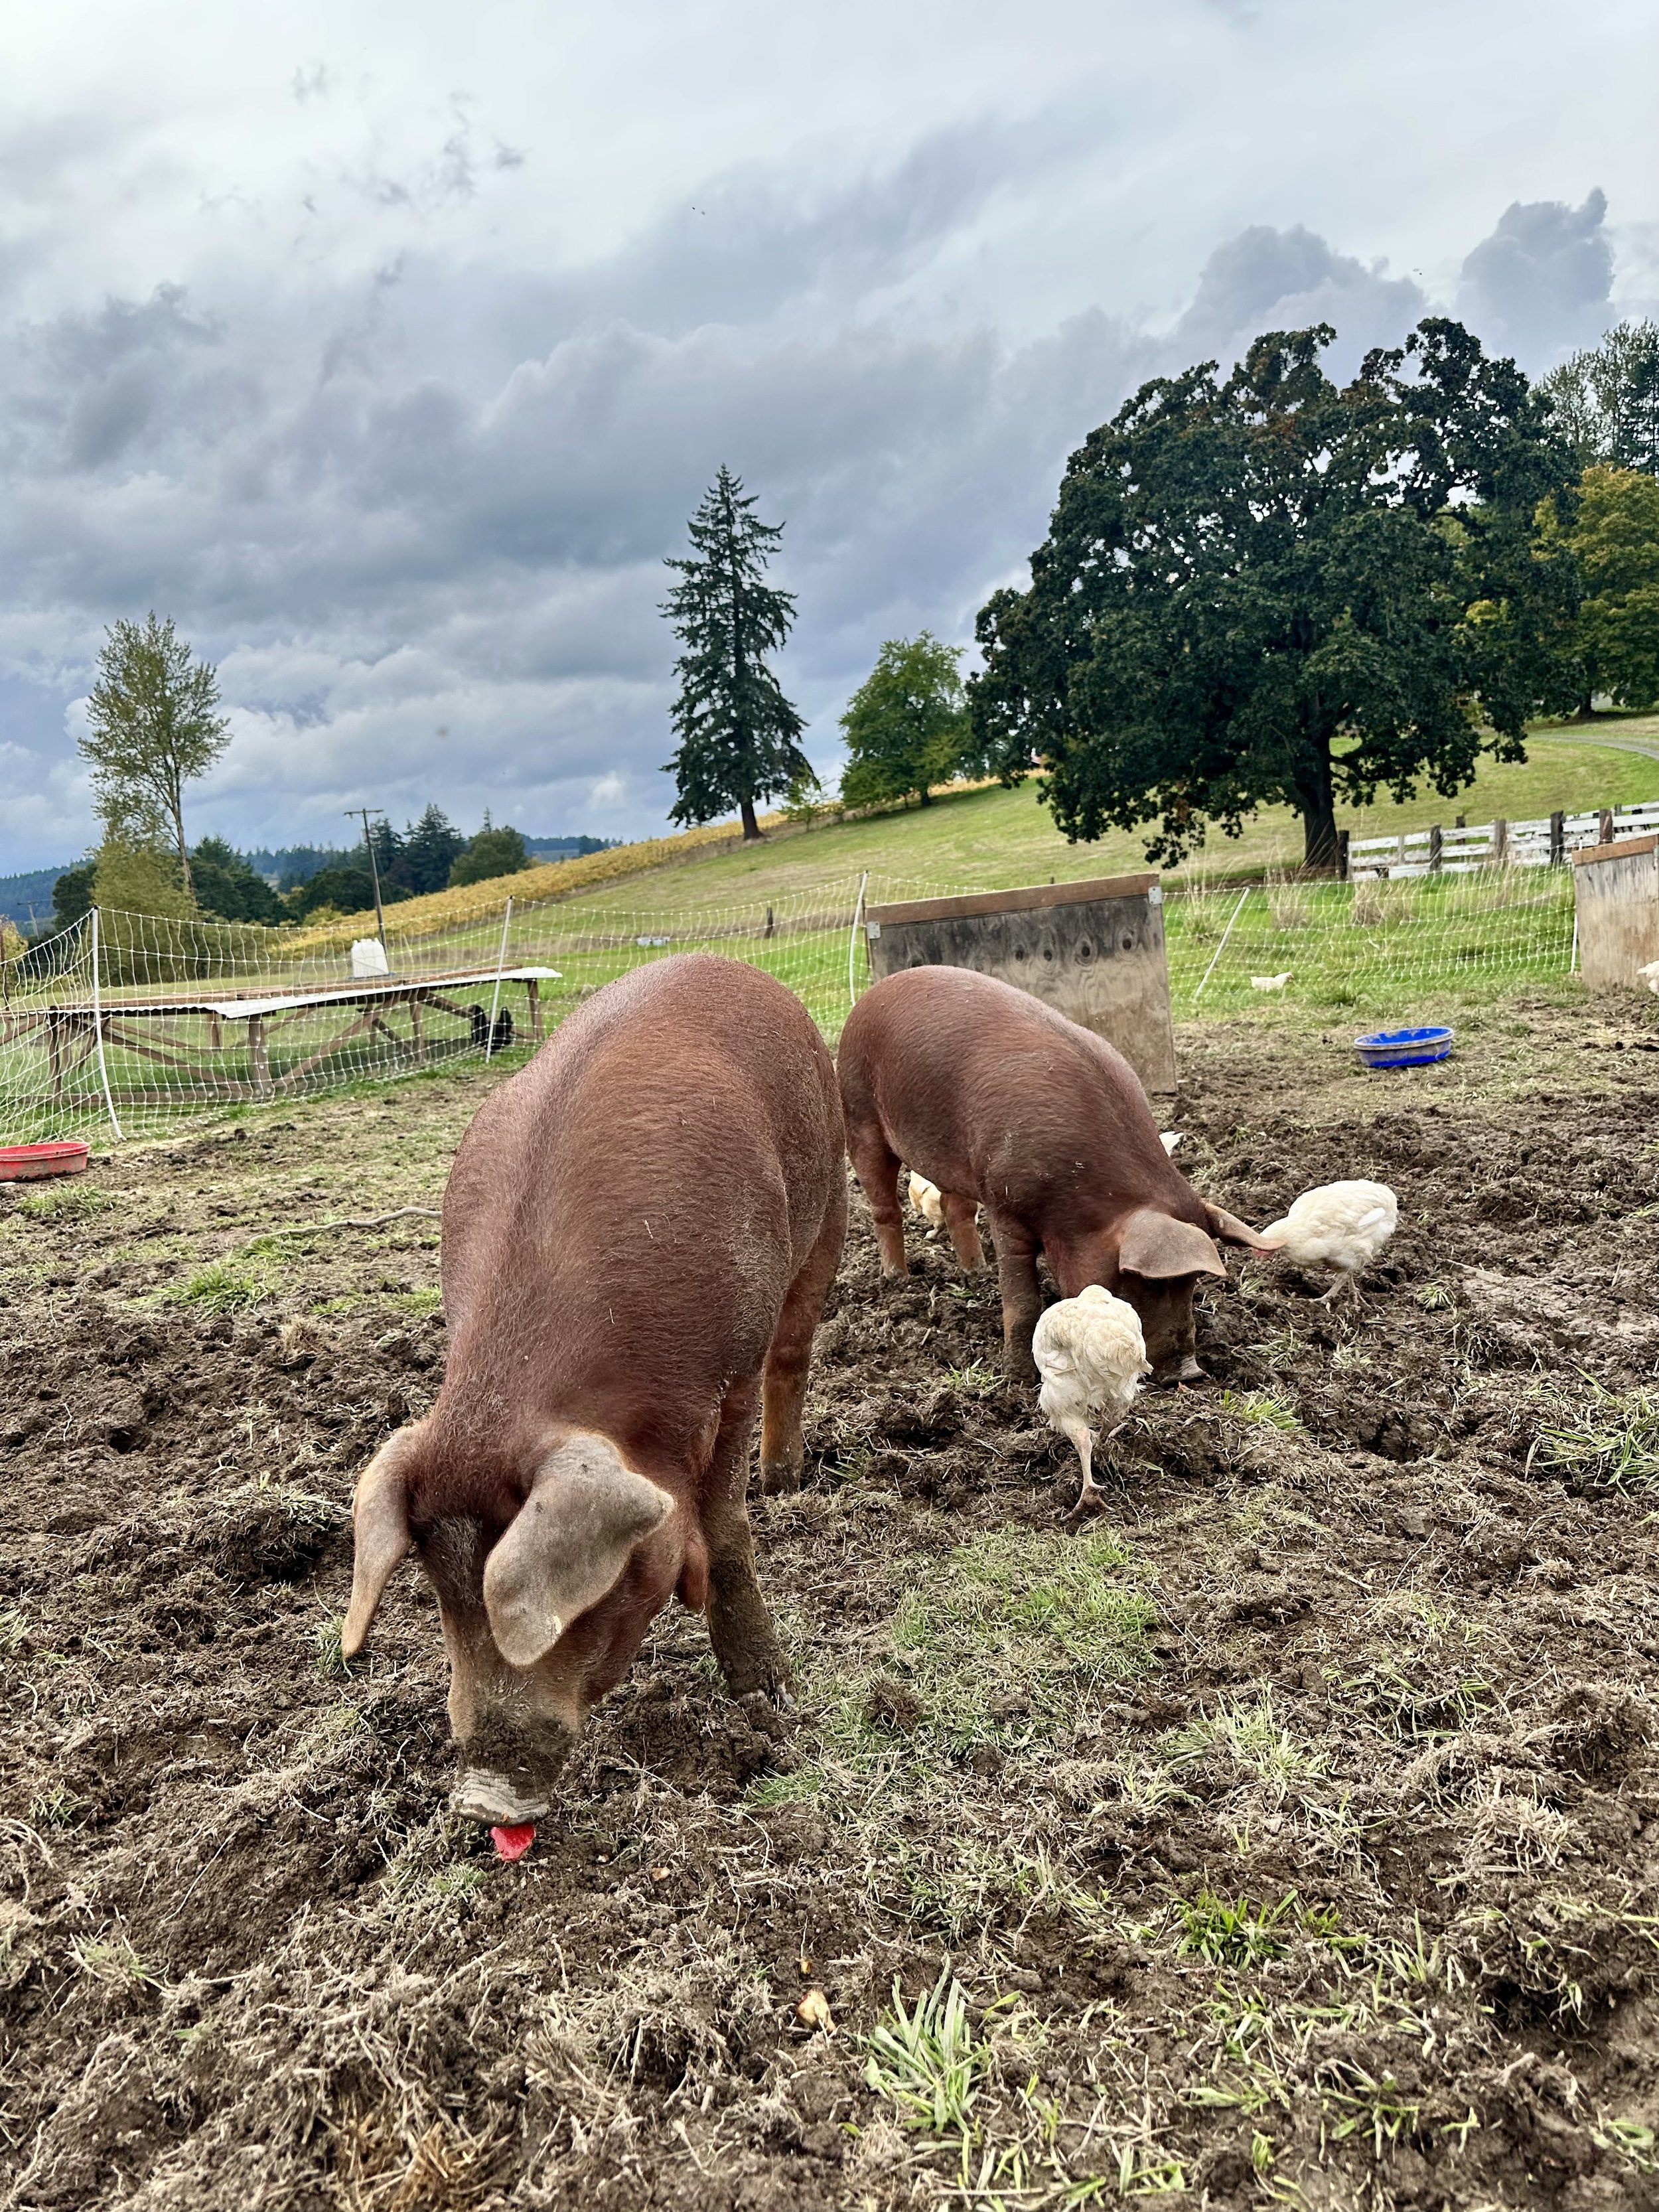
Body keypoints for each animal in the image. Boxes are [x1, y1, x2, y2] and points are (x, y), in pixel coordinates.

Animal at [340, 954, 847, 1828]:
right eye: (438, 1590)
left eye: (578, 1599)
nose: (482, 1802)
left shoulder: (730, 1371)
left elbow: (724, 1520)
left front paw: (770, 1699)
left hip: (830, 1191)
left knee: (797, 1346)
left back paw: (784, 1481)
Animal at [837, 965, 1270, 1383]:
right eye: (1147, 1281)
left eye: (1192, 1284)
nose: (1190, 1373)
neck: (1079, 1206)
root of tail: (871, 996)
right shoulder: (1005, 1205)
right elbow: (1021, 1299)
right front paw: (1017, 1379)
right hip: (859, 1117)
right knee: (884, 1207)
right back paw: (897, 1280)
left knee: (956, 1207)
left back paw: (976, 1273)